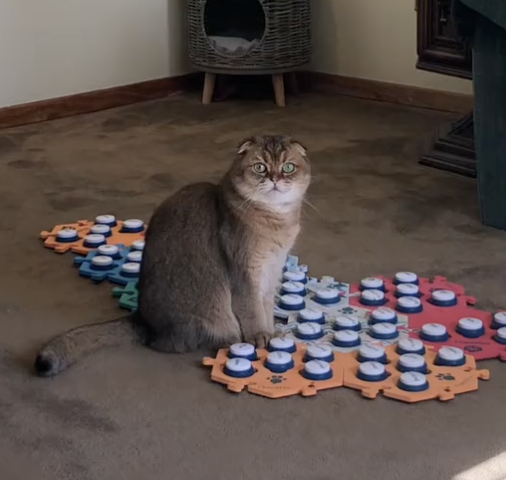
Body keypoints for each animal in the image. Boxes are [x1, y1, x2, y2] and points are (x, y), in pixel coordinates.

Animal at [33, 134, 310, 376]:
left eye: (288, 167)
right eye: (260, 167)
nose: (275, 179)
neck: (276, 221)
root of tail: (144, 321)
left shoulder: (272, 270)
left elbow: (267, 306)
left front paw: (272, 331)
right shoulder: (245, 273)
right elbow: (253, 309)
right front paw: (259, 336)